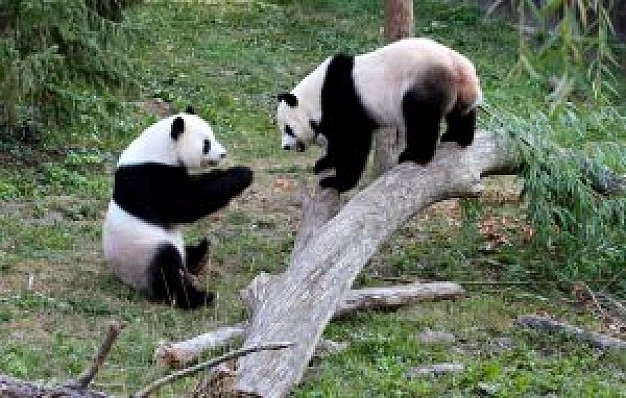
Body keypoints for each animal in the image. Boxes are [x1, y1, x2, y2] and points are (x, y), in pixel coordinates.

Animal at [101, 107, 252, 310]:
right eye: (206, 143)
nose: (223, 154)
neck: (158, 148)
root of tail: (125, 280)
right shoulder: (148, 178)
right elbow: (185, 203)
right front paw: (243, 173)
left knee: (185, 255)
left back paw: (201, 254)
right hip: (145, 252)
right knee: (168, 273)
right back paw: (200, 297)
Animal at [276, 38, 480, 194]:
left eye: (288, 129)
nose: (285, 147)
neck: (316, 96)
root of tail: (458, 69)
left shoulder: (343, 102)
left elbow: (353, 142)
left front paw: (336, 182)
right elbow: (337, 143)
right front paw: (323, 163)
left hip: (423, 85)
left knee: (420, 120)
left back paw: (414, 156)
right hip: (458, 90)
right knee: (461, 113)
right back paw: (457, 137)